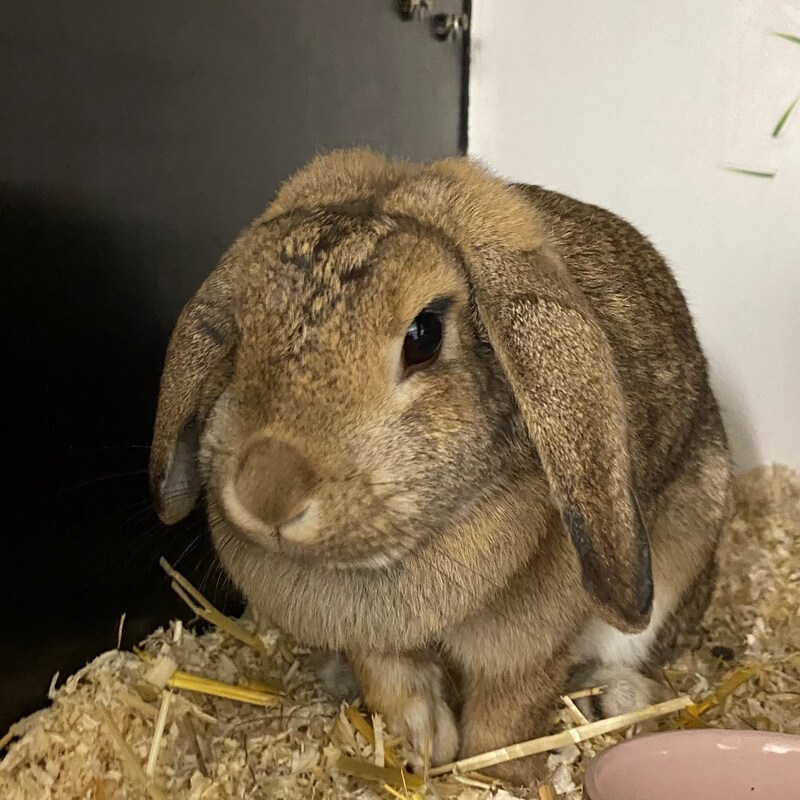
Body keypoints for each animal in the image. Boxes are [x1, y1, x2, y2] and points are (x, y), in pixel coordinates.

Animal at [148, 148, 732, 780]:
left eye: (424, 335)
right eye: (240, 332)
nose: (267, 493)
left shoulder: (527, 644)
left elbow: (506, 713)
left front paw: (488, 770)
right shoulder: (373, 639)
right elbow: (395, 687)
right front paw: (423, 749)